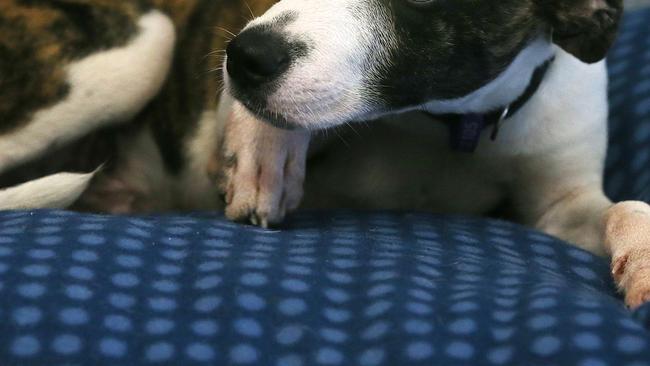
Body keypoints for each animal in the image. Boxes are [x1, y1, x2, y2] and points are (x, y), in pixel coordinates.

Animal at [215, 0, 648, 308]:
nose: (246, 57)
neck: (450, 122)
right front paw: (264, 148)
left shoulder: (560, 209)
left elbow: (625, 208)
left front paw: (643, 264)